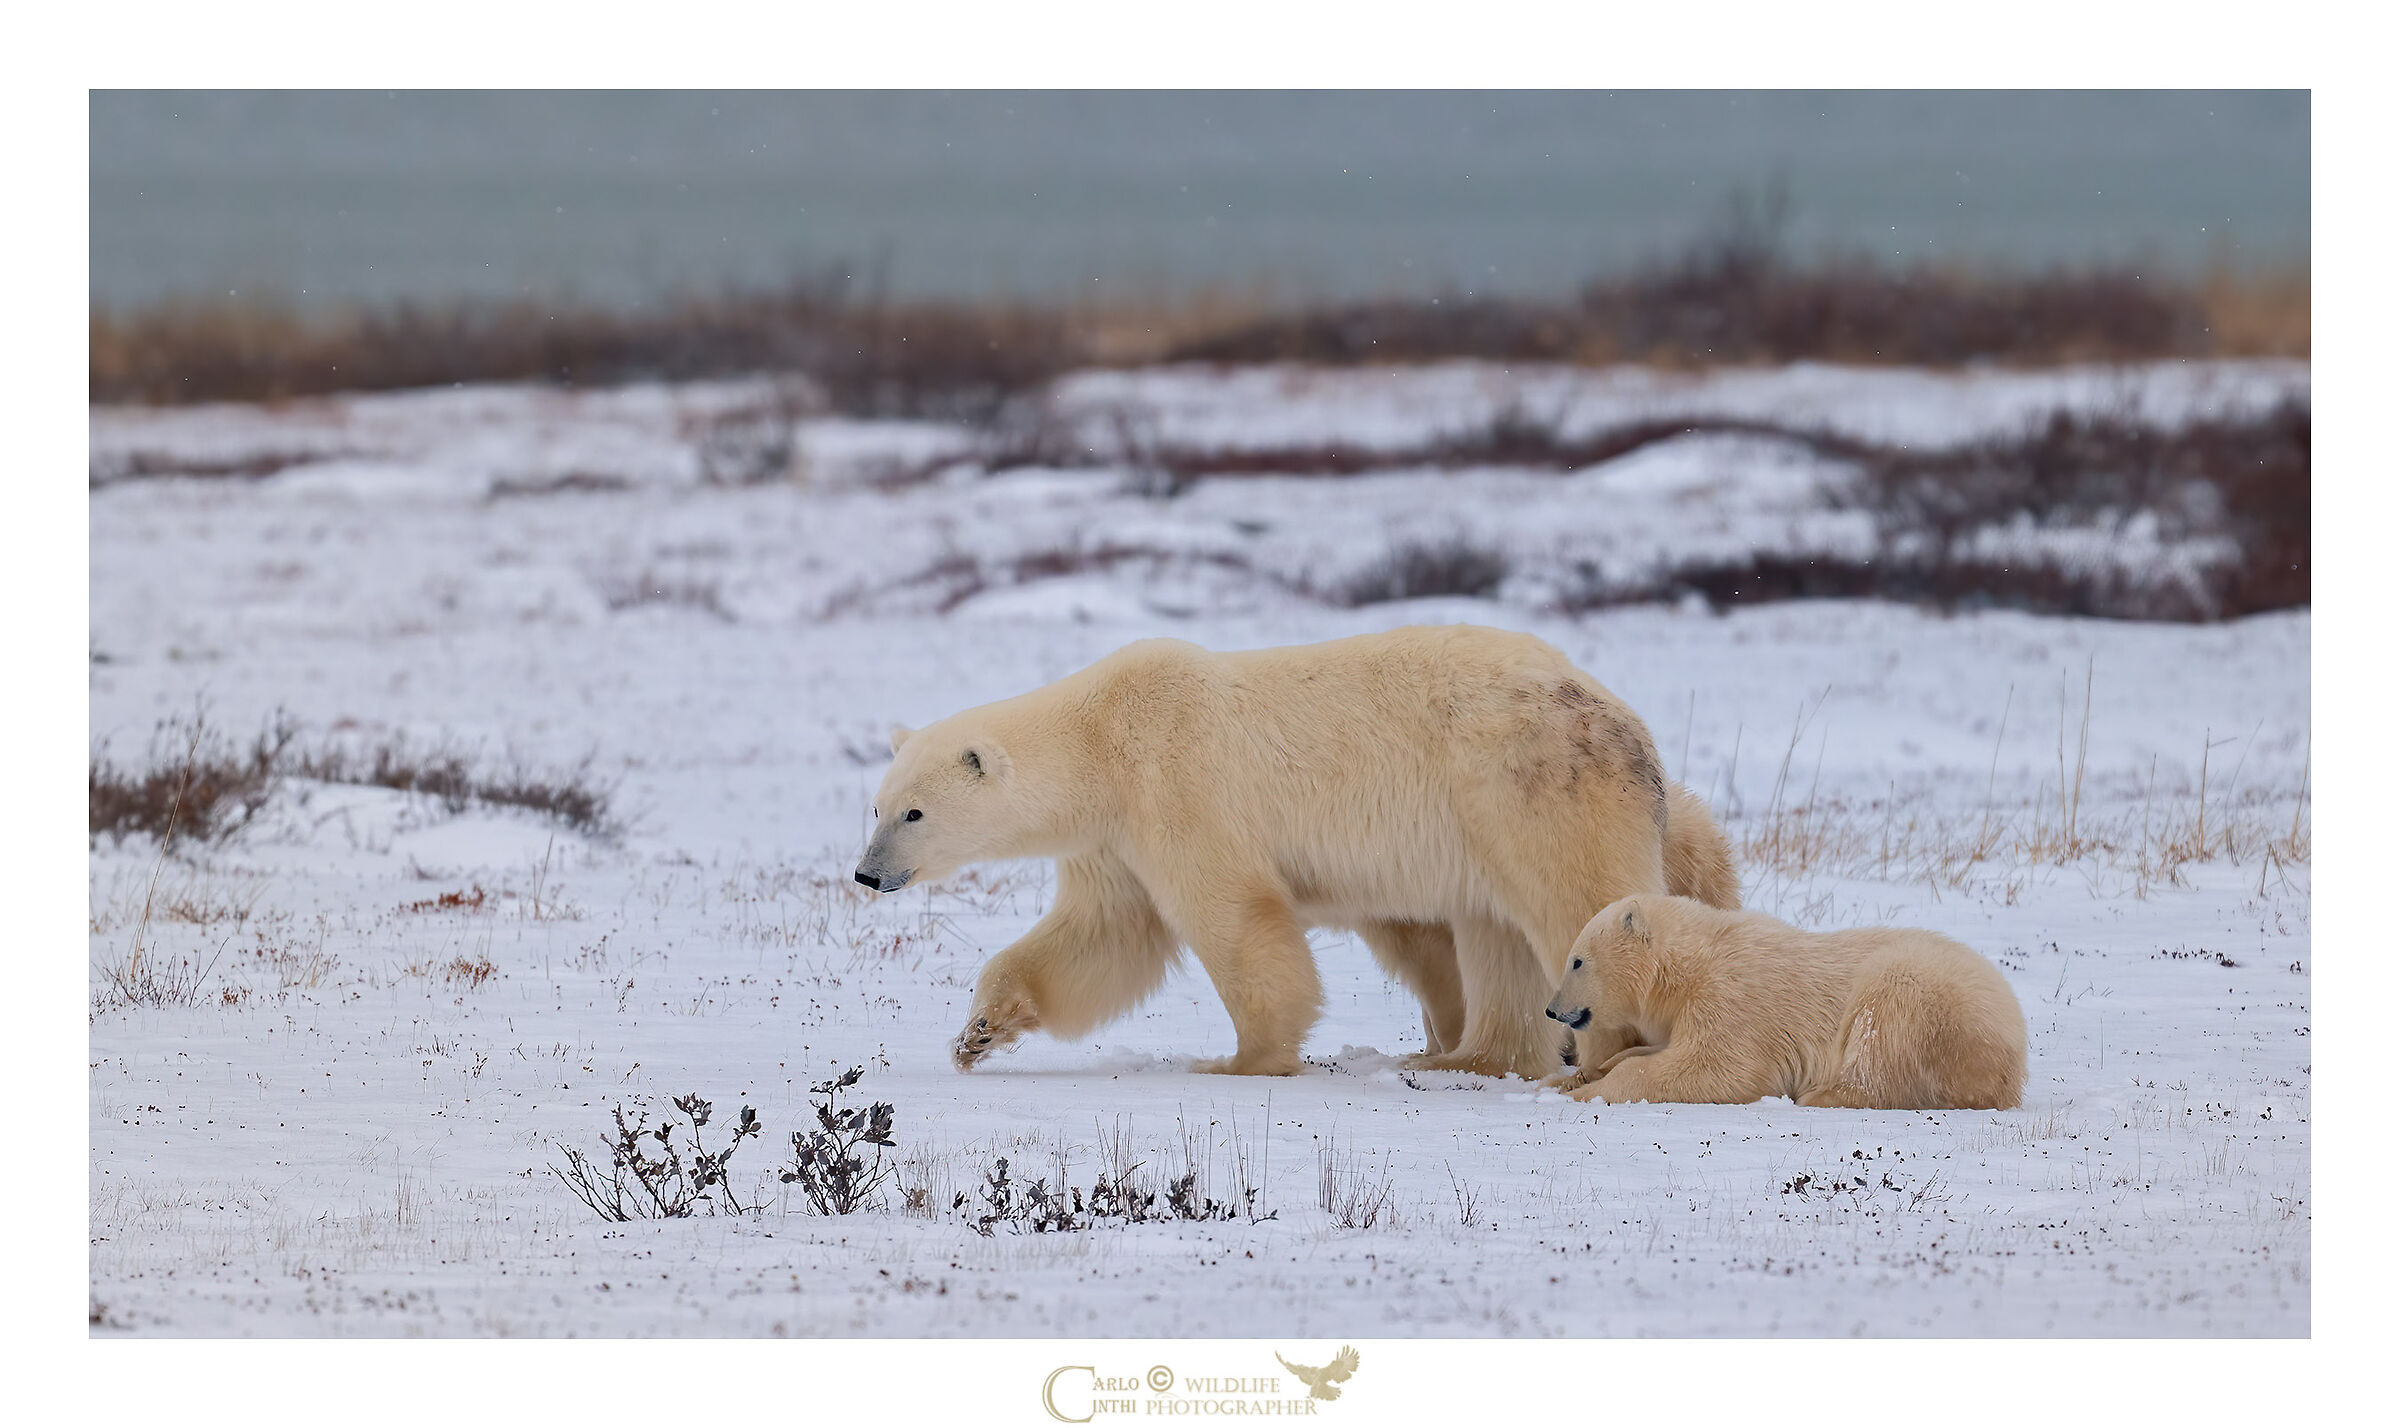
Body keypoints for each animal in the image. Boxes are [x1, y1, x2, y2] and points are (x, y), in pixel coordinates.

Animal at [854, 625, 1698, 1079]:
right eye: (877, 806)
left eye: (915, 811)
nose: (866, 873)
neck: (1100, 737)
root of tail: (1634, 731)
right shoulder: (1114, 837)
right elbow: (1102, 936)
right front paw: (977, 1034)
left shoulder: (1177, 782)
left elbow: (1232, 914)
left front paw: (1242, 1058)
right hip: (1486, 827)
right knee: (1495, 935)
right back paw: (1464, 1058)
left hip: (1530, 788)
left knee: (1576, 902)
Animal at [1542, 894, 2026, 1109]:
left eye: (1577, 961)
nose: (1552, 1009)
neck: (1690, 964)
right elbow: (1649, 1051)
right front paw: (1578, 1076)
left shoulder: (1731, 997)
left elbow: (1714, 1068)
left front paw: (1590, 1090)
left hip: (1924, 993)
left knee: (1880, 1031)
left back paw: (1822, 1094)